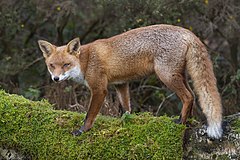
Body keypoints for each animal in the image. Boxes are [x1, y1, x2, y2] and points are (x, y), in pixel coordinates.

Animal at [38, 24, 223, 139]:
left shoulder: (99, 89)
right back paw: (189, 121)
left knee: (188, 97)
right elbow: (126, 108)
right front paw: (125, 123)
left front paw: (83, 131)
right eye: (52, 66)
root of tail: (187, 32)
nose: (56, 78)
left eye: (66, 65)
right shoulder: (120, 84)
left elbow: (89, 115)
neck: (87, 61)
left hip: (166, 75)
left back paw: (181, 122)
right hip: (179, 75)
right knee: (193, 95)